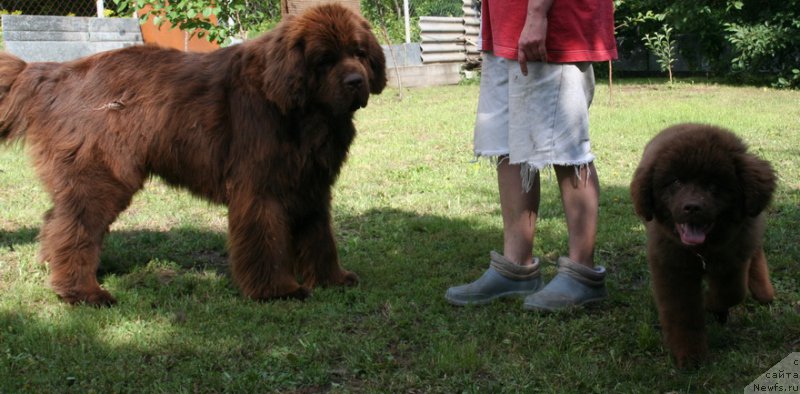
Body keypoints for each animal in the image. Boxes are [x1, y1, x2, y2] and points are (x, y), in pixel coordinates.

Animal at [0, 3, 388, 304]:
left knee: (56, 220)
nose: (357, 82)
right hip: (98, 175)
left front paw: (330, 280)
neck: (298, 108)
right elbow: (265, 241)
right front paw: (276, 291)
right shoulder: (260, 188)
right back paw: (83, 292)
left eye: (359, 53)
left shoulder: (311, 184)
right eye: (324, 60)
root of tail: (57, 73)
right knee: (74, 227)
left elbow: (319, 237)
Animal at [632, 122, 776, 366]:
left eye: (713, 184)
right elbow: (682, 315)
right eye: (676, 181)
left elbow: (732, 292)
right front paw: (689, 356)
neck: (702, 251)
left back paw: (763, 291)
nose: (692, 207)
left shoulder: (733, 259)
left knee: (755, 251)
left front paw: (712, 304)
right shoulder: (672, 268)